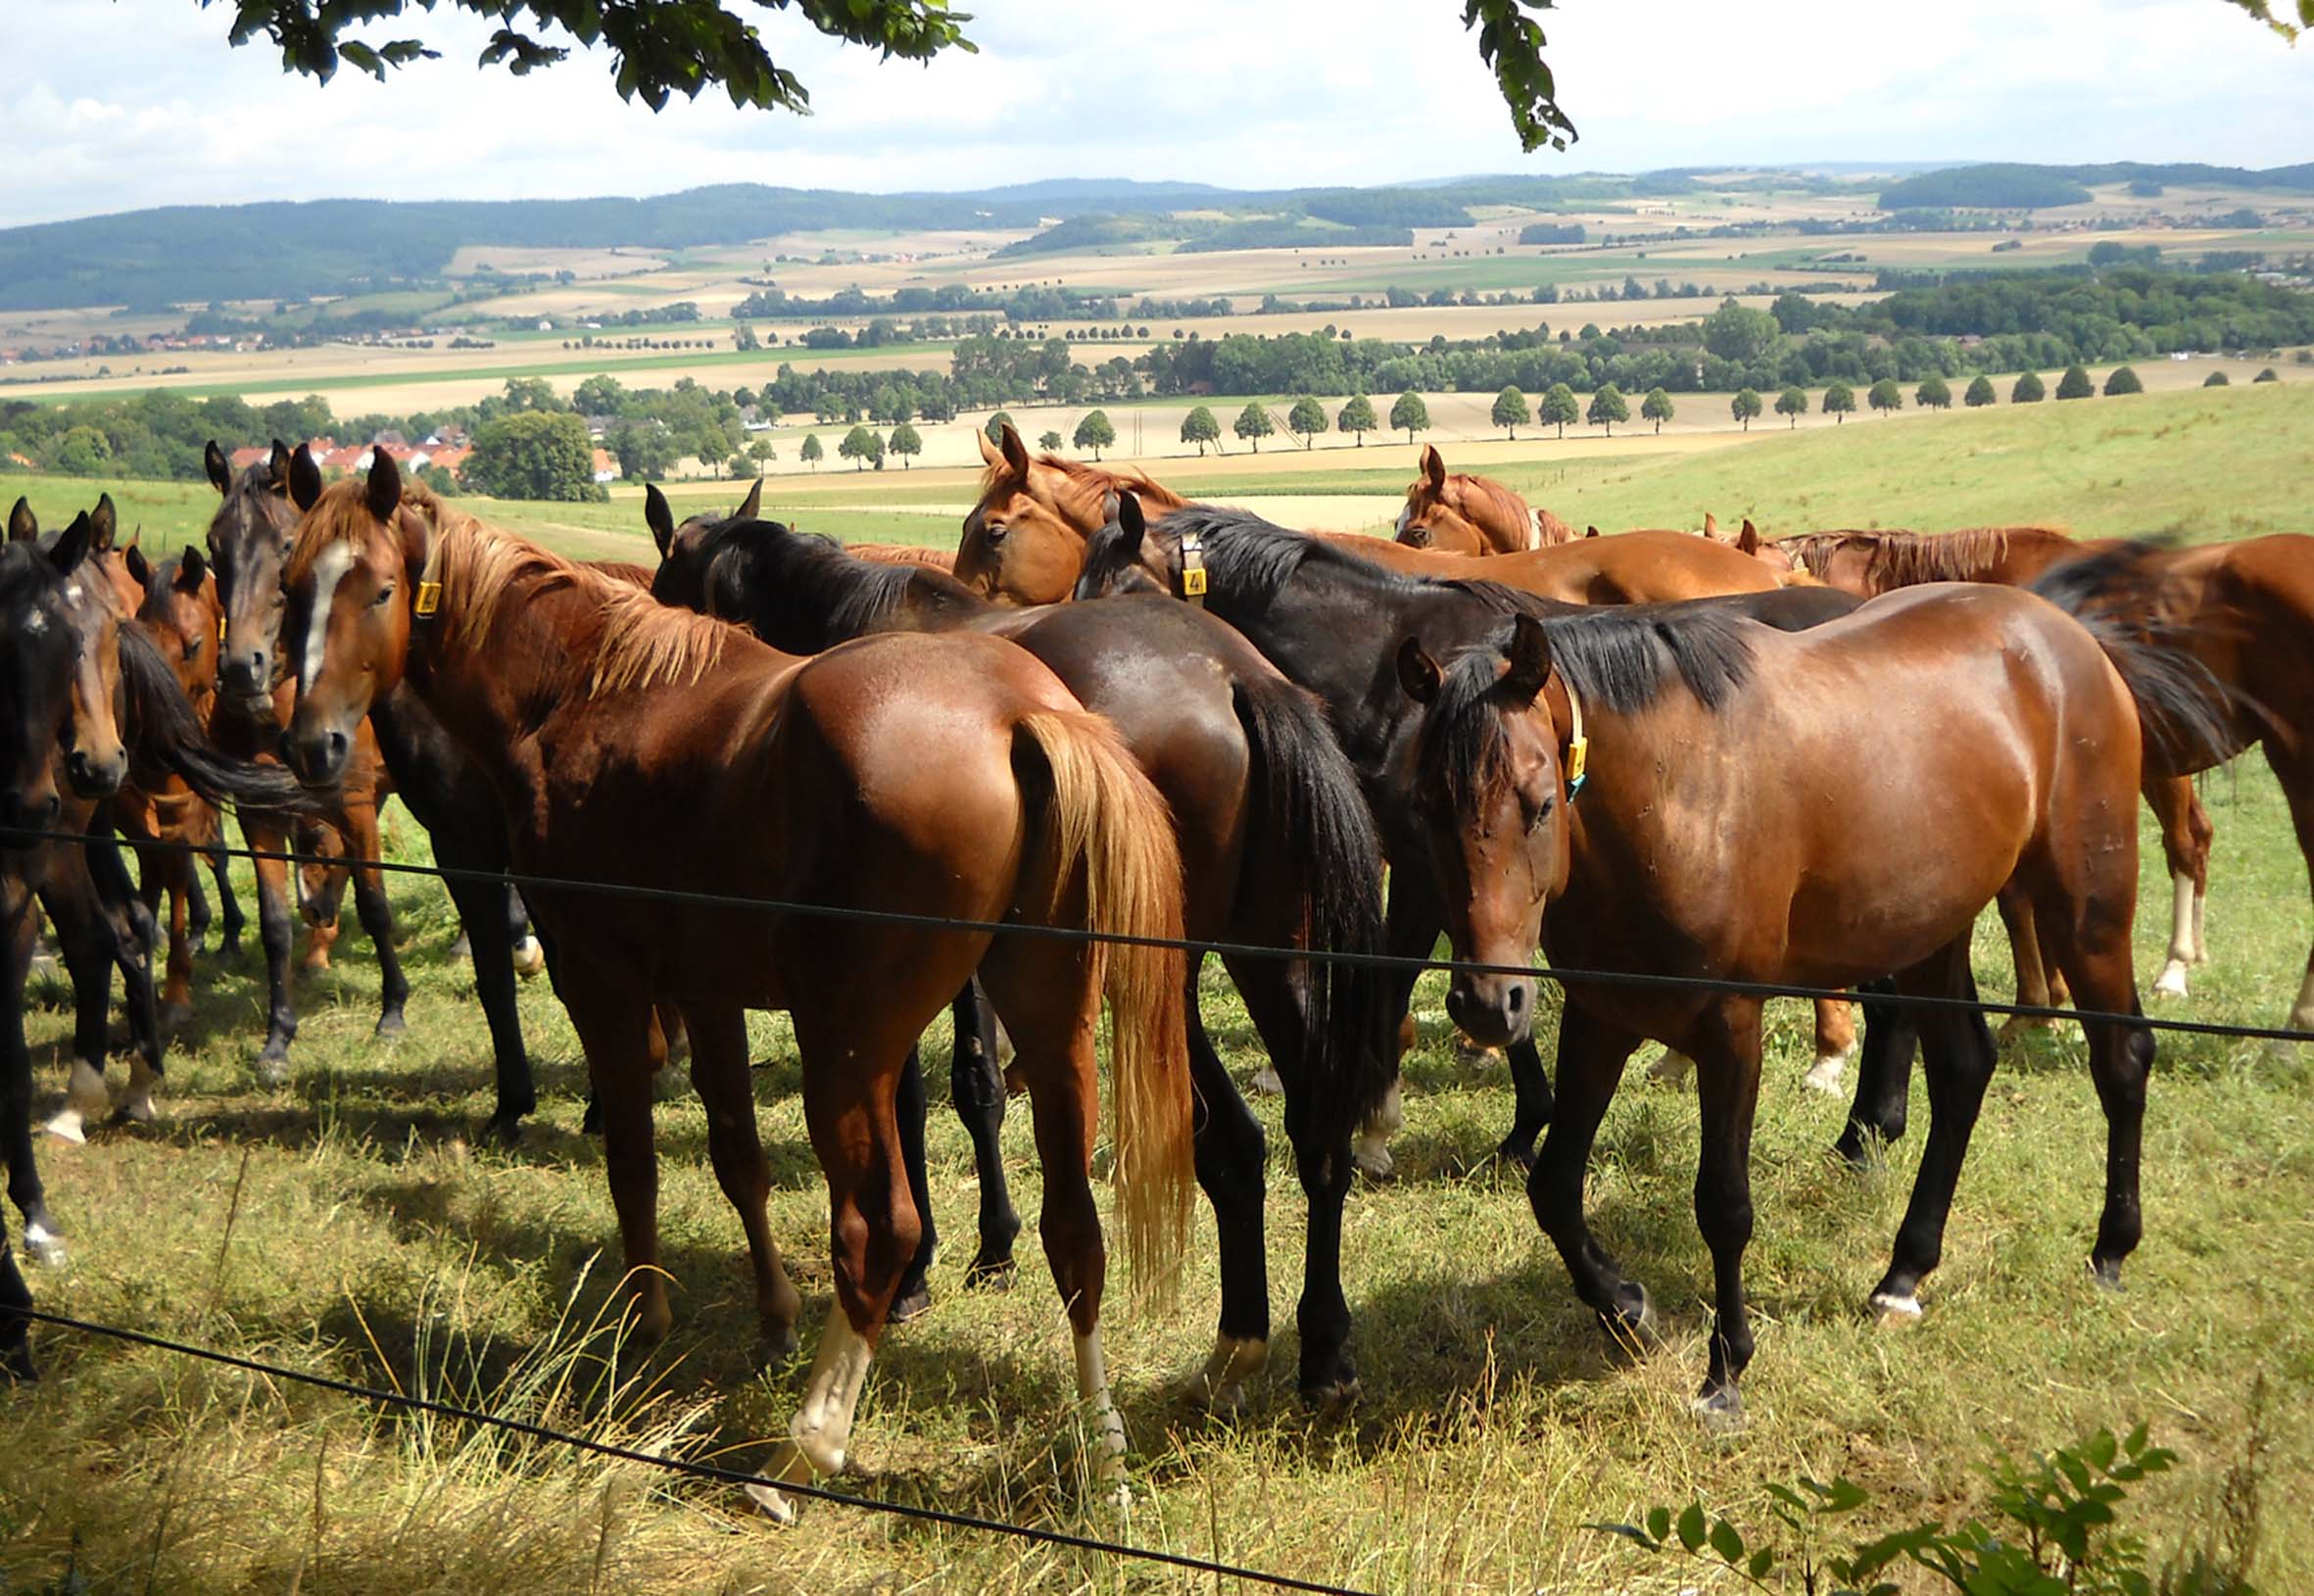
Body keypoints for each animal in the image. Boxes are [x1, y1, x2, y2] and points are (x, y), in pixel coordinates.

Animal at [279, 451, 1203, 1508]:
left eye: (380, 589)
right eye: (292, 585)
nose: (312, 745)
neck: (582, 691)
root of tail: (1021, 712)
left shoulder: (600, 980)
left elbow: (632, 1162)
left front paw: (643, 1327)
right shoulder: (707, 991)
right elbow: (738, 1159)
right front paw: (771, 1320)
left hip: (848, 1047)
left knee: (879, 1231)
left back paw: (801, 1452)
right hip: (1050, 1030)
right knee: (1075, 1233)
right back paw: (1104, 1458)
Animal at [638, 488, 1388, 1406]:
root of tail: (1231, 675)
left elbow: (933, 1095)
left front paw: (924, 1267)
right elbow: (977, 1085)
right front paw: (990, 1246)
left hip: (1162, 979)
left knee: (1234, 1143)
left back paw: (1241, 1343)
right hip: (1267, 951)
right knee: (1315, 1131)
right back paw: (1320, 1350)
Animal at [1073, 497, 1869, 1156]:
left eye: (1119, 594)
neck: (1389, 670)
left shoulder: (1430, 866)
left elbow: (1405, 968)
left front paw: (1377, 1126)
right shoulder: (1451, 862)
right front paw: (1522, 1117)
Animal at [1370, 553, 2221, 1415]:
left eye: (1540, 803)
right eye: (1424, 807)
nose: (1487, 1002)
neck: (1679, 792)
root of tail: (2065, 634)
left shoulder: (1729, 1025)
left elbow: (1723, 1203)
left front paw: (1725, 1371)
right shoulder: (1602, 1014)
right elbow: (1553, 1185)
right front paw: (1627, 1307)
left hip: (2087, 910)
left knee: (2121, 1060)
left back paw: (2110, 1248)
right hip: (1928, 927)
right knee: (1962, 1069)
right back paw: (1904, 1273)